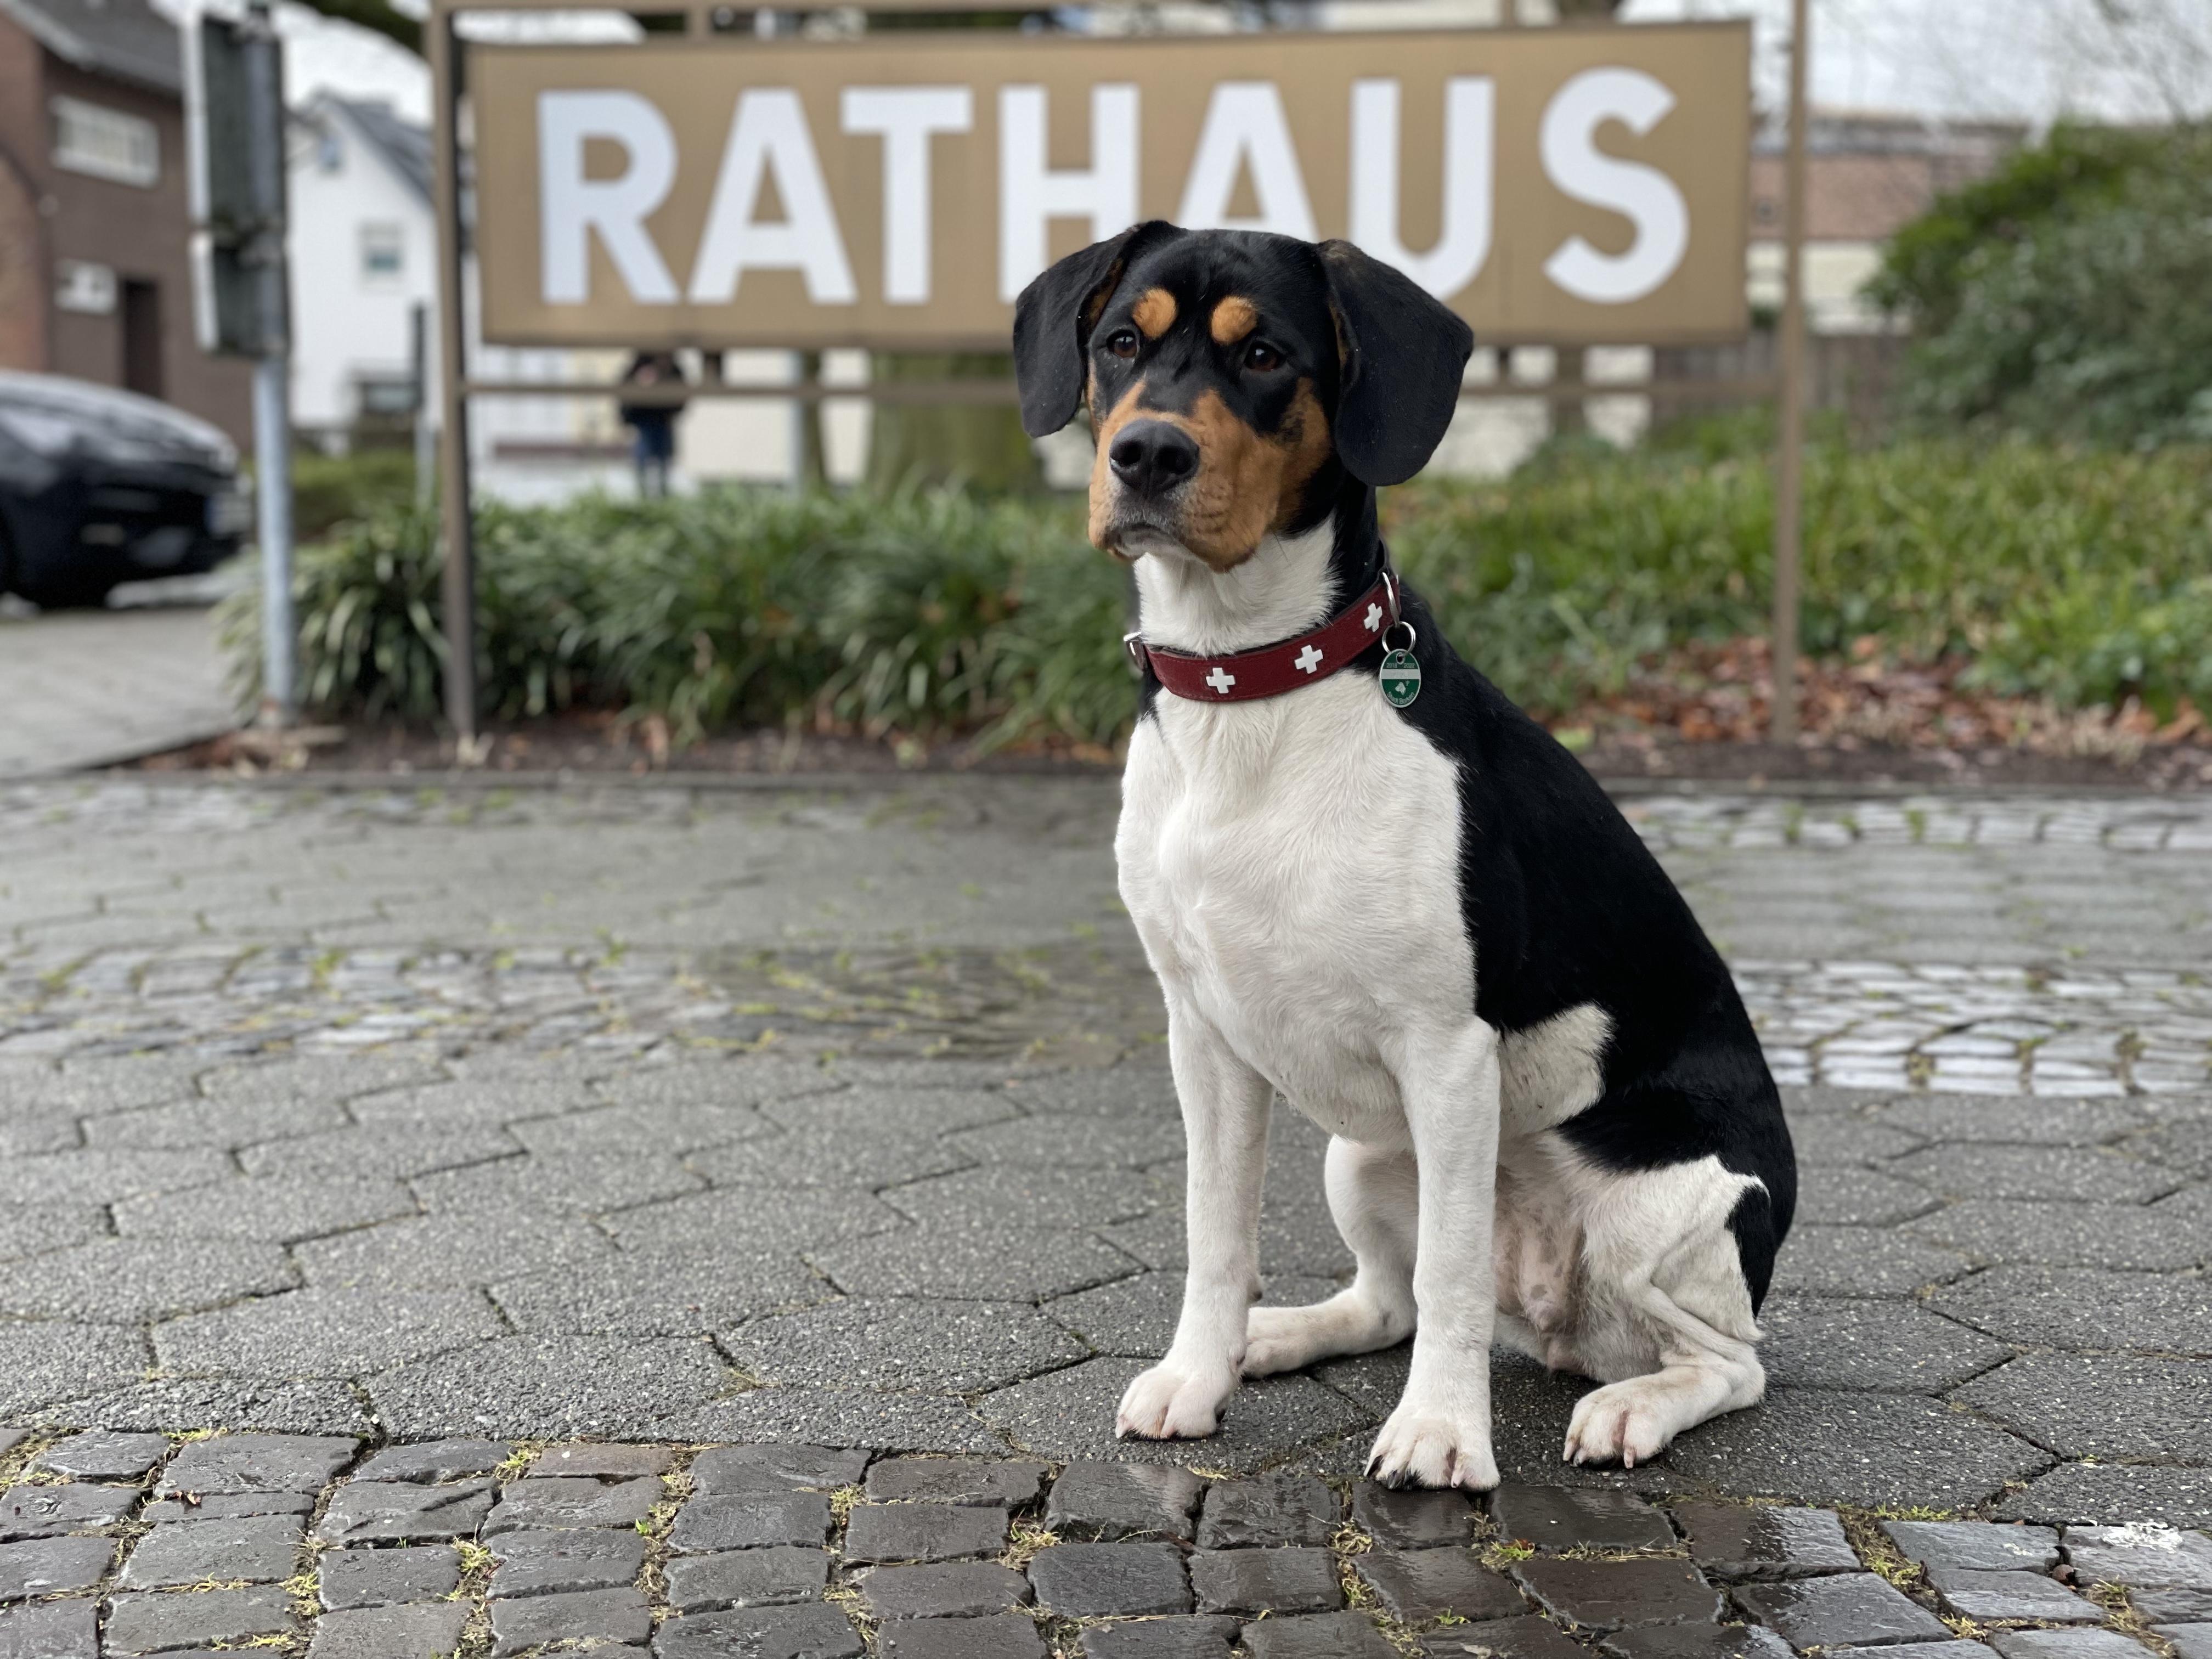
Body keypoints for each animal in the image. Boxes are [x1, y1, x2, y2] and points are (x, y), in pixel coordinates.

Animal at [1013, 224, 1796, 1495]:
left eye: (1266, 354)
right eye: (1121, 341)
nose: (1147, 453)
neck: (1252, 687)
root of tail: (1560, 1324)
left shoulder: (1446, 1052)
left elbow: (1452, 1272)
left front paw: (1439, 1432)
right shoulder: (1203, 1037)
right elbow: (1216, 1233)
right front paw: (1198, 1374)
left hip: (1667, 1210)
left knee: (1725, 1363)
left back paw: (1631, 1408)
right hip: (1364, 1154)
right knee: (1387, 1302)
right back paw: (1275, 1338)